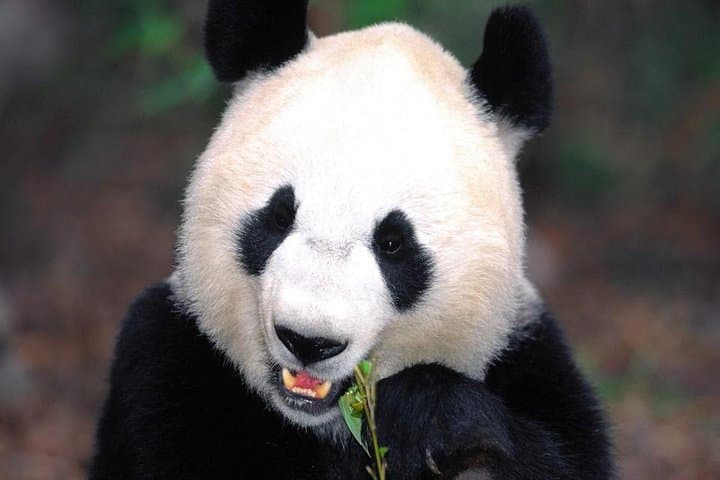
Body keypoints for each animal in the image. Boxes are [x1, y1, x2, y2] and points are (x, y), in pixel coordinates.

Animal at [90, 1, 613, 479]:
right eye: (279, 215)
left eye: (393, 243)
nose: (308, 340)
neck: (323, 424)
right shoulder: (169, 362)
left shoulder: (528, 354)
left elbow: (559, 456)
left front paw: (432, 417)